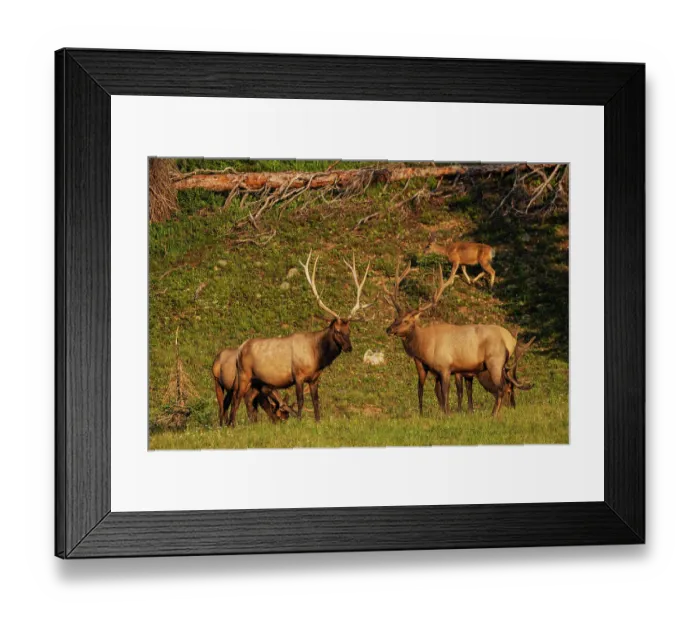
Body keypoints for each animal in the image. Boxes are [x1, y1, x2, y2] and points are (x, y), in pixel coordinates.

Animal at [229, 252, 373, 427]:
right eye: (337, 331)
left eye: (349, 330)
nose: (349, 347)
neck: (317, 357)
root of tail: (240, 349)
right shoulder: (298, 375)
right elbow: (301, 400)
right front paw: (298, 420)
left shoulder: (315, 378)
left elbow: (316, 401)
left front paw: (318, 421)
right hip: (243, 374)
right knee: (236, 398)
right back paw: (231, 424)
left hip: (257, 380)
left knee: (249, 399)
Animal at [384, 261, 516, 417]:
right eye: (395, 318)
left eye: (406, 321)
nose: (389, 329)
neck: (424, 346)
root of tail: (510, 343)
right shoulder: (434, 370)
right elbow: (430, 391)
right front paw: (429, 413)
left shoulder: (445, 366)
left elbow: (445, 392)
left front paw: (448, 414)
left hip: (494, 361)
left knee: (501, 387)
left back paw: (493, 414)